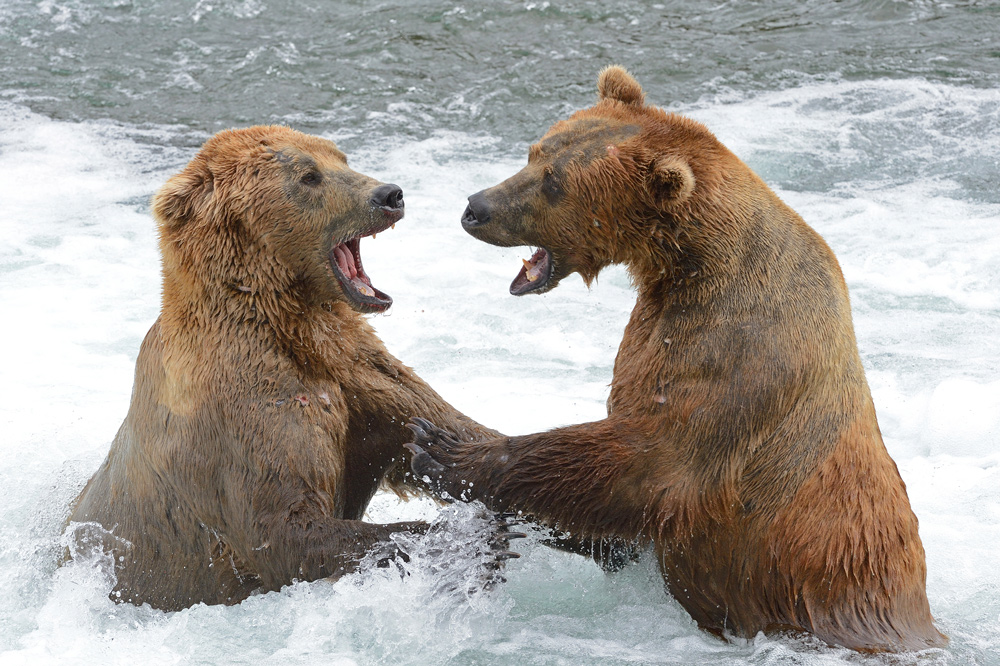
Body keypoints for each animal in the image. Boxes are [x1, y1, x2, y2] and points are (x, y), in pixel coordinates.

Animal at [65, 126, 496, 612]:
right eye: (308, 175)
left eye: (341, 158)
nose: (390, 194)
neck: (290, 327)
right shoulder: (245, 414)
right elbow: (285, 531)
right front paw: (457, 539)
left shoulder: (363, 376)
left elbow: (445, 428)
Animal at [406, 68, 944, 652]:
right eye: (534, 151)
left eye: (554, 182)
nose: (475, 208)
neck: (687, 268)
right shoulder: (649, 335)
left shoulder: (733, 365)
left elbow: (645, 464)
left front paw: (444, 450)